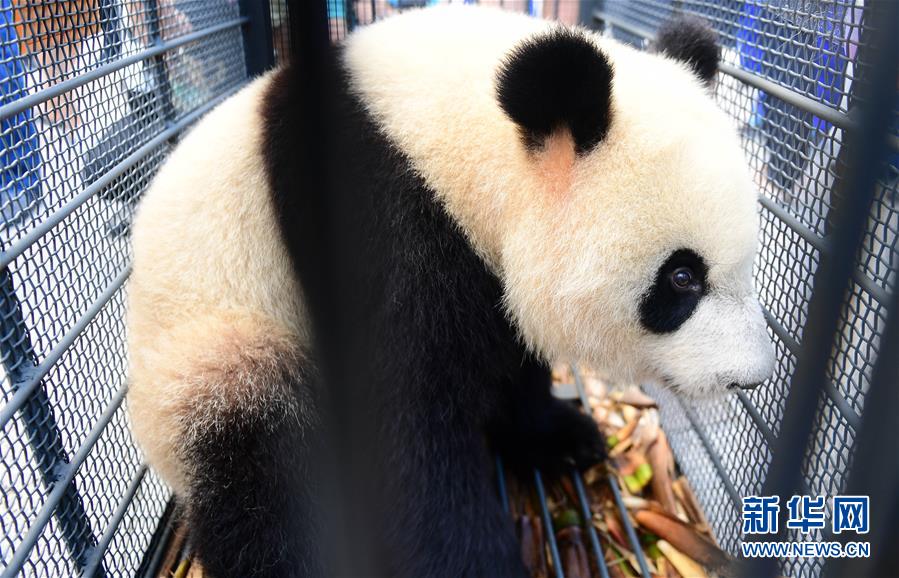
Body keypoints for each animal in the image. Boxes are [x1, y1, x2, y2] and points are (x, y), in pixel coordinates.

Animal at [127, 6, 774, 578]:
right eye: (683, 277)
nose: (750, 377)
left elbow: (508, 353)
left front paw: (559, 436)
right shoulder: (377, 223)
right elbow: (405, 428)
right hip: (216, 344)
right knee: (261, 471)